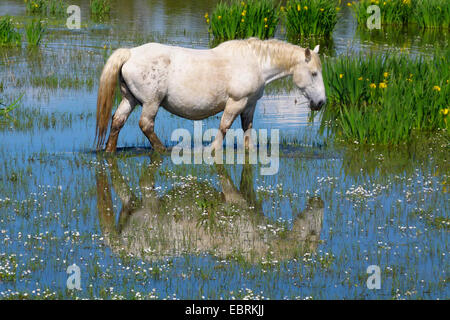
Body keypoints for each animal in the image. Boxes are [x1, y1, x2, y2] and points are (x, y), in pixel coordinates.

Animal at [96, 37, 326, 152]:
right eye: (314, 73)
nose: (321, 102)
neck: (256, 63)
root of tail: (130, 53)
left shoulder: (249, 105)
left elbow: (247, 130)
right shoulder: (236, 102)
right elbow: (224, 127)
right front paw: (213, 150)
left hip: (130, 99)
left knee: (117, 121)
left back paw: (109, 151)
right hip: (151, 102)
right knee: (146, 125)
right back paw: (163, 150)